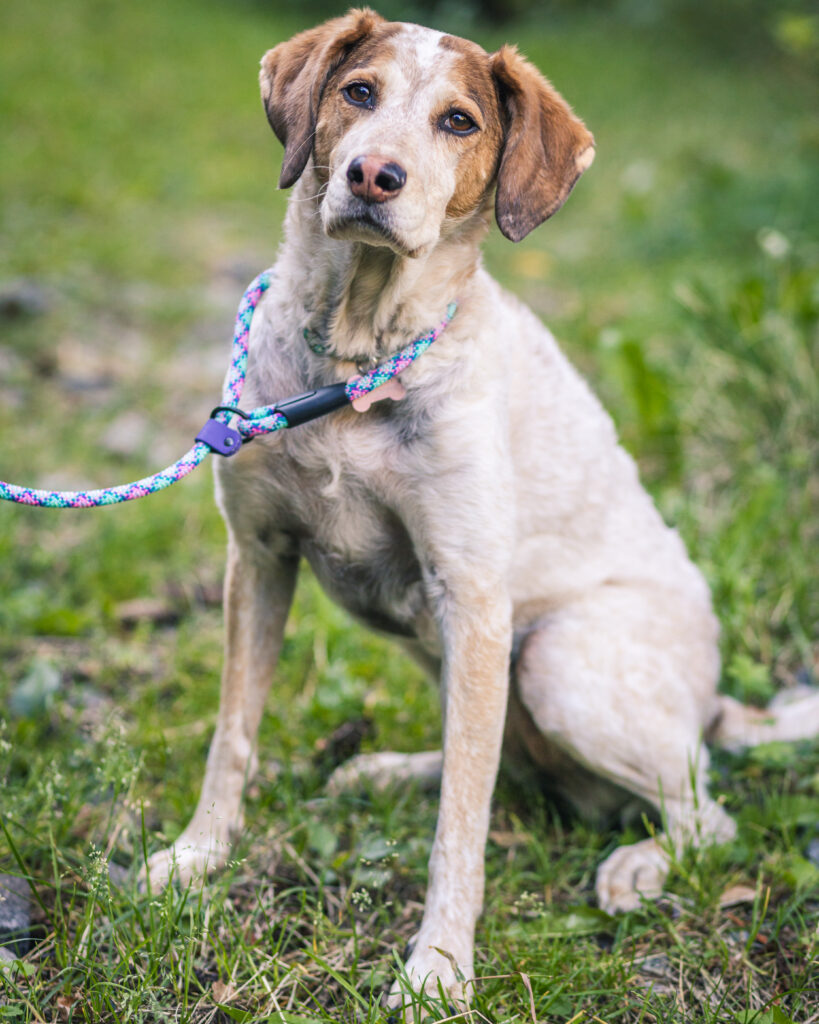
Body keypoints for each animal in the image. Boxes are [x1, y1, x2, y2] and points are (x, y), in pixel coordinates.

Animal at [144, 6, 818, 999]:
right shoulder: (259, 555)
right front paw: (198, 856)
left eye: (458, 122)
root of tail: (714, 707)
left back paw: (638, 866)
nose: (372, 176)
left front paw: (437, 968)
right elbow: (234, 733)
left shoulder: (471, 598)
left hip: (554, 660)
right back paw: (387, 770)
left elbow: (460, 828)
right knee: (505, 765)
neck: (358, 363)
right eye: (358, 93)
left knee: (700, 813)